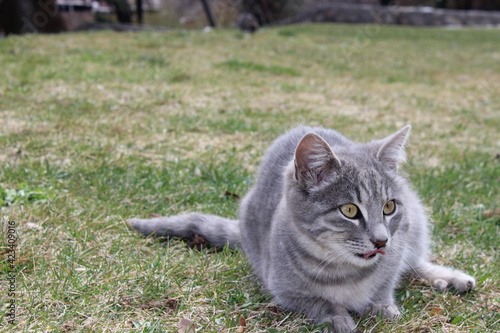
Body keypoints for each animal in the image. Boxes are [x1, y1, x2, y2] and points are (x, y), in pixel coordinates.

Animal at [128, 125, 472, 332]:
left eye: (389, 207)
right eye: (349, 210)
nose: (381, 240)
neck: (345, 272)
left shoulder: (397, 244)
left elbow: (386, 284)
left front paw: (384, 307)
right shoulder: (284, 289)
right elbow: (318, 302)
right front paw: (339, 316)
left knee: (414, 262)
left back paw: (449, 278)